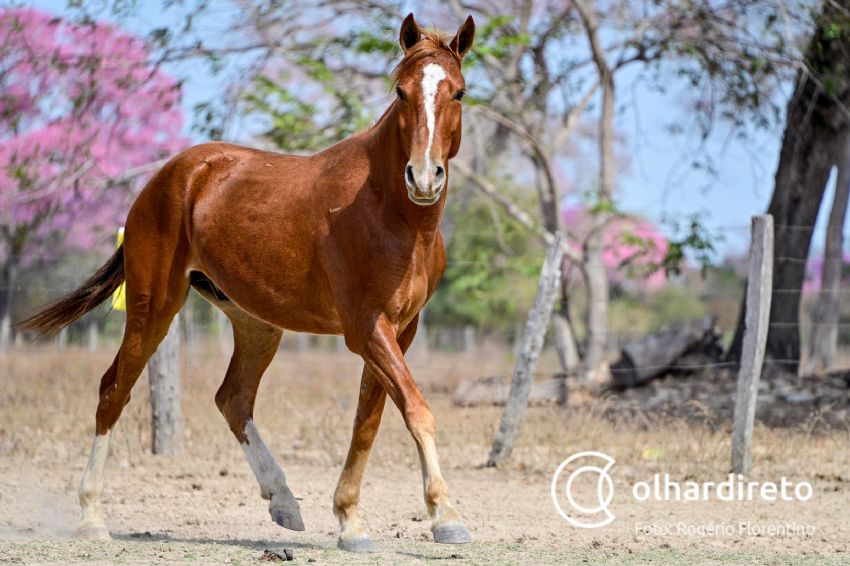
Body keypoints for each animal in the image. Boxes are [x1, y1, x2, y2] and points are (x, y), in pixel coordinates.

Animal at [19, 13, 474, 556]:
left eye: (459, 92)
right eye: (401, 92)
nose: (424, 178)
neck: (390, 213)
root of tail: (166, 179)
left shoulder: (400, 329)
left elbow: (371, 420)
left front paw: (350, 522)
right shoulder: (366, 328)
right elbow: (416, 410)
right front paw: (446, 516)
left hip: (256, 324)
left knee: (232, 399)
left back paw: (284, 503)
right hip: (154, 307)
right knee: (114, 390)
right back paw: (91, 517)